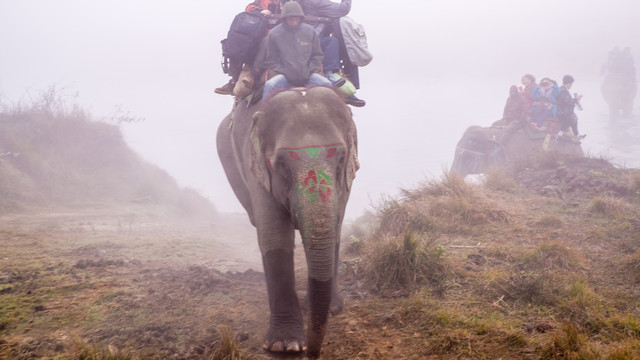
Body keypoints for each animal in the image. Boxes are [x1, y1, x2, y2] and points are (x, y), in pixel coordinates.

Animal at [216, 86, 360, 358]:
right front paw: (286, 345)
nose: (312, 354)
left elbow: (335, 226)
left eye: (341, 158)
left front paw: (333, 309)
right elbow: (274, 236)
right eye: (281, 163)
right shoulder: (256, 167)